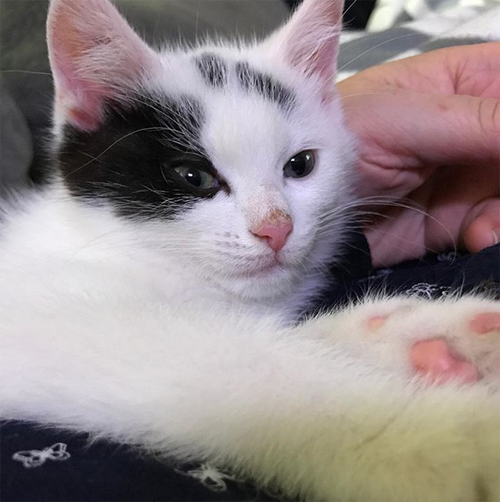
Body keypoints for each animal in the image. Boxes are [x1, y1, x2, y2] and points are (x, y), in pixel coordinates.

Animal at [2, 0, 500, 500]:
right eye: (193, 177)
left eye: (300, 165)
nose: (276, 228)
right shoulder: (45, 321)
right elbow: (247, 374)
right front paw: (446, 437)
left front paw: (420, 335)